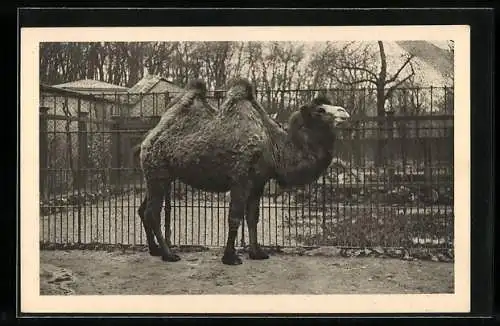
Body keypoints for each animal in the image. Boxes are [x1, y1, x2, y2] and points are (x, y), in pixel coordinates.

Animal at [139, 77, 350, 264]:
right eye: (320, 110)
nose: (345, 112)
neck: (273, 146)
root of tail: (149, 138)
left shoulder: (258, 182)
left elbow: (252, 217)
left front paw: (258, 253)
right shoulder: (240, 179)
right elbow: (235, 217)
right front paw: (230, 258)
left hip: (161, 176)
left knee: (143, 210)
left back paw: (154, 250)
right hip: (157, 172)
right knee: (153, 212)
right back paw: (168, 255)